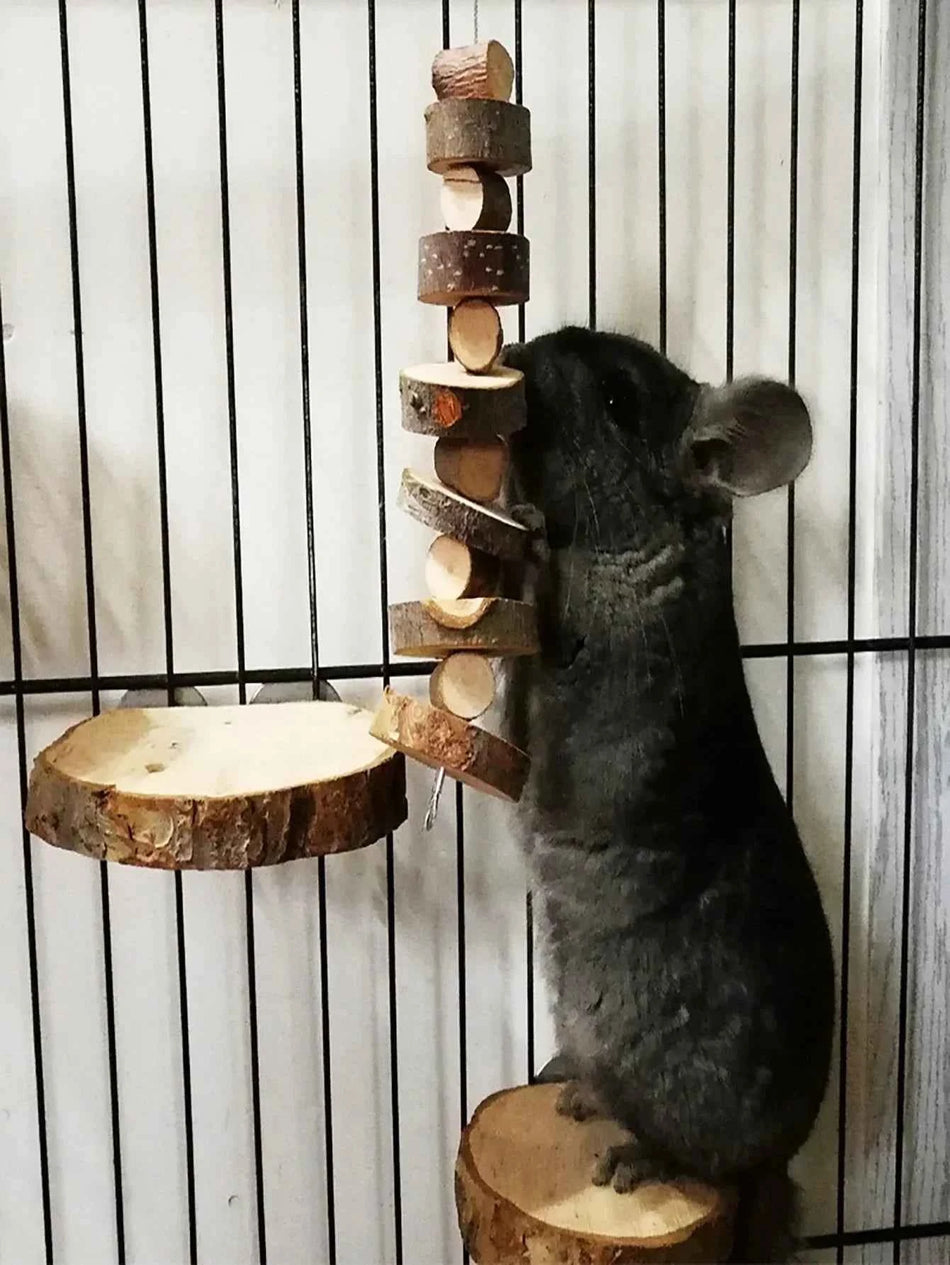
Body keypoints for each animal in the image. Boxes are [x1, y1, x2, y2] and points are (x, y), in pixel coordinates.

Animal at [502, 325, 835, 1263]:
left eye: (618, 398)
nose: (521, 350)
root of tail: (781, 1157)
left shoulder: (595, 718)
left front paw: (527, 537)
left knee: (702, 1163)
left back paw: (629, 1155)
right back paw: (578, 1093)